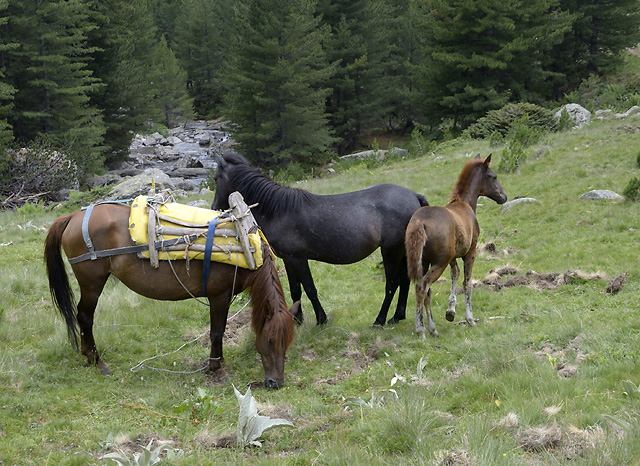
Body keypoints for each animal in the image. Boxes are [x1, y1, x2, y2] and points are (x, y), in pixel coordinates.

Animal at [43, 202, 298, 388]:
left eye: (287, 342)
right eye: (271, 340)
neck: (246, 245)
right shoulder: (219, 296)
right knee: (85, 316)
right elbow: (217, 332)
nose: (276, 383)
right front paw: (216, 368)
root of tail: (73, 217)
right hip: (92, 282)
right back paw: (96, 360)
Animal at [211, 151, 430, 326]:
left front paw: (321, 319)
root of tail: (414, 196)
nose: (214, 207)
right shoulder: (288, 259)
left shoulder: (298, 259)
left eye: (215, 179)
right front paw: (297, 320)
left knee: (392, 284)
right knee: (405, 280)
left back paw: (380, 320)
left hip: (391, 251)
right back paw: (397, 316)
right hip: (403, 251)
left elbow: (310, 289)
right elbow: (295, 290)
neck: (278, 210)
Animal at [408, 157, 508, 338]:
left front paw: (450, 311)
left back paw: (432, 328)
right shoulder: (470, 252)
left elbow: (455, 274)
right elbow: (467, 283)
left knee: (427, 291)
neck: (464, 203)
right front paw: (469, 319)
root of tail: (420, 222)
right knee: (422, 287)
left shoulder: (453, 257)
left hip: (424, 262)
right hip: (439, 262)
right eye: (494, 176)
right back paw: (421, 330)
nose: (504, 196)